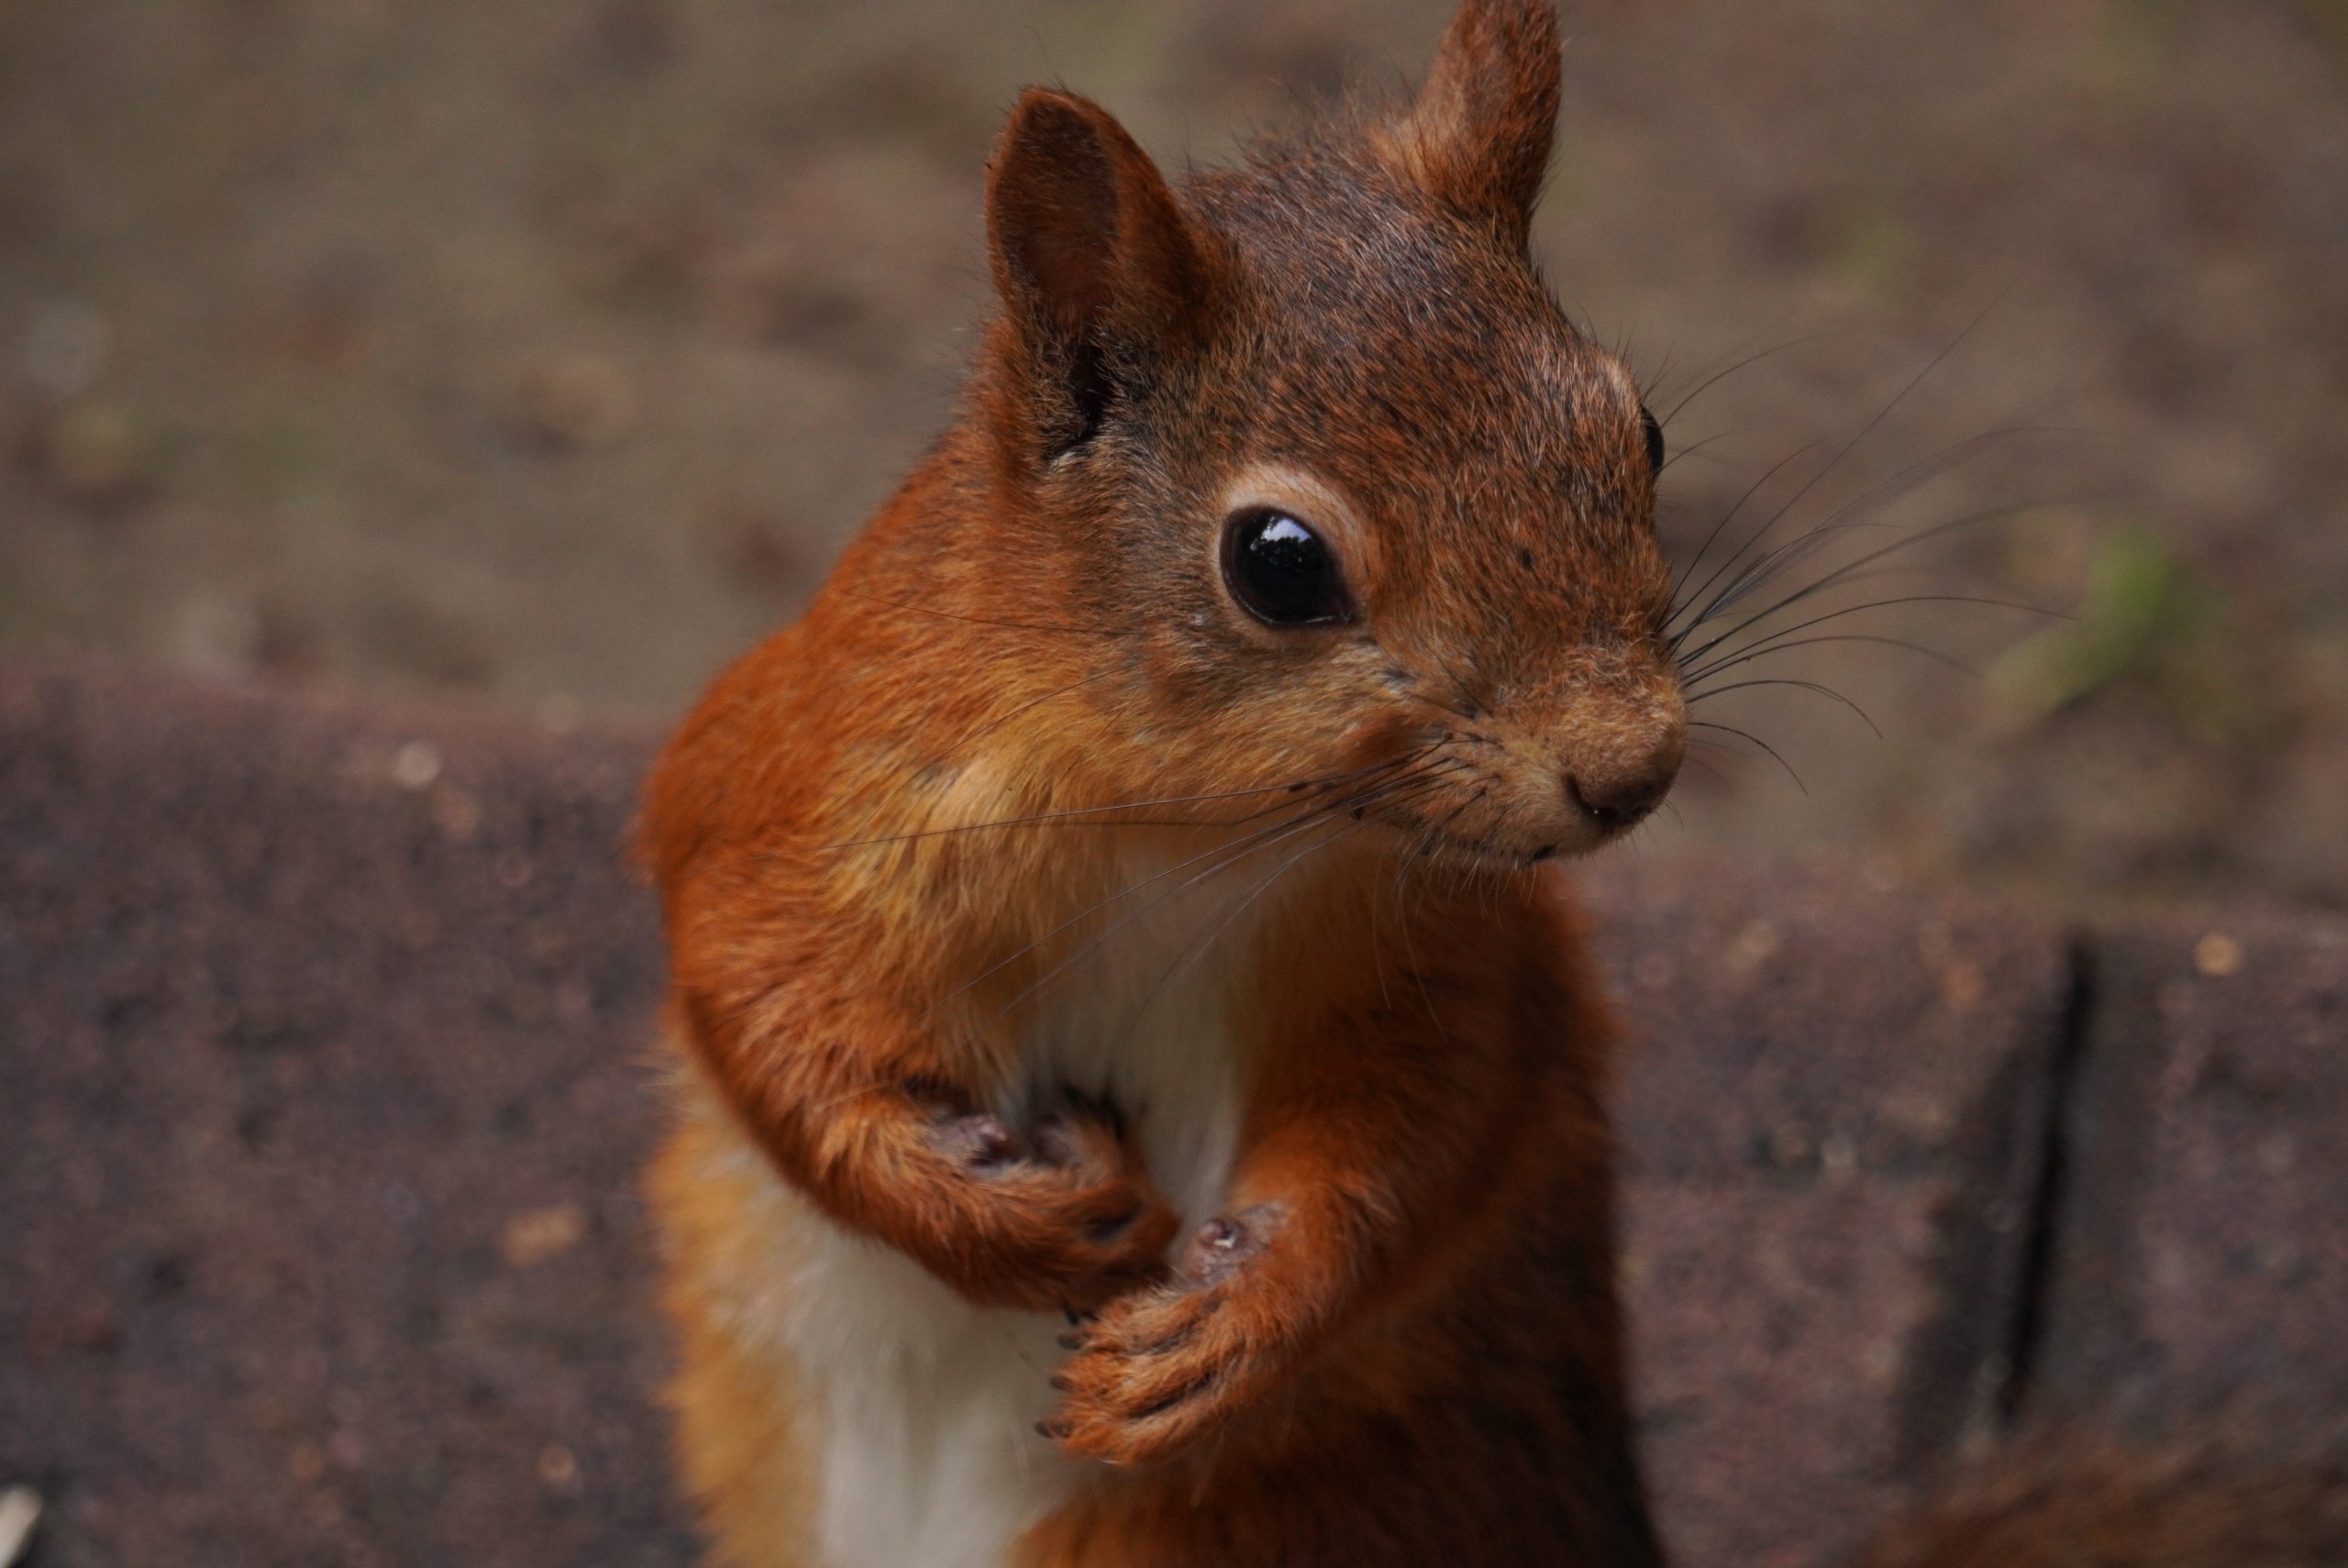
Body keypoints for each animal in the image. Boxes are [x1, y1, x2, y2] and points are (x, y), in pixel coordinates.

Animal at [643, 3, 2348, 1568]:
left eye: (1636, 428)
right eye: (1278, 564)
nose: (1632, 763)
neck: (1187, 834)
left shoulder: (1443, 946)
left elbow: (1434, 1119)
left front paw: (1242, 1316)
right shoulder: (805, 782)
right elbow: (755, 997)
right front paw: (995, 1211)